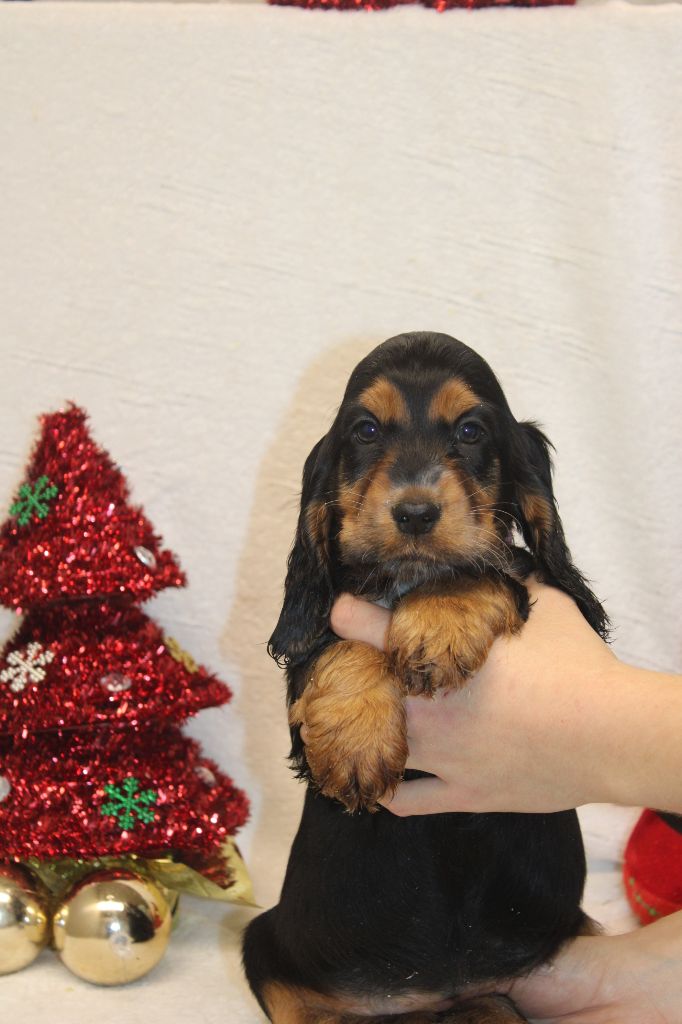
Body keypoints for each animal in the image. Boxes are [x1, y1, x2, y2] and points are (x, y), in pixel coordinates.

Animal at [244, 333, 606, 1024]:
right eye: (364, 430)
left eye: (470, 430)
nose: (414, 513)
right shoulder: (301, 705)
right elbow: (334, 644)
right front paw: (356, 740)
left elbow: (489, 568)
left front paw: (440, 618)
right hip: (268, 943)